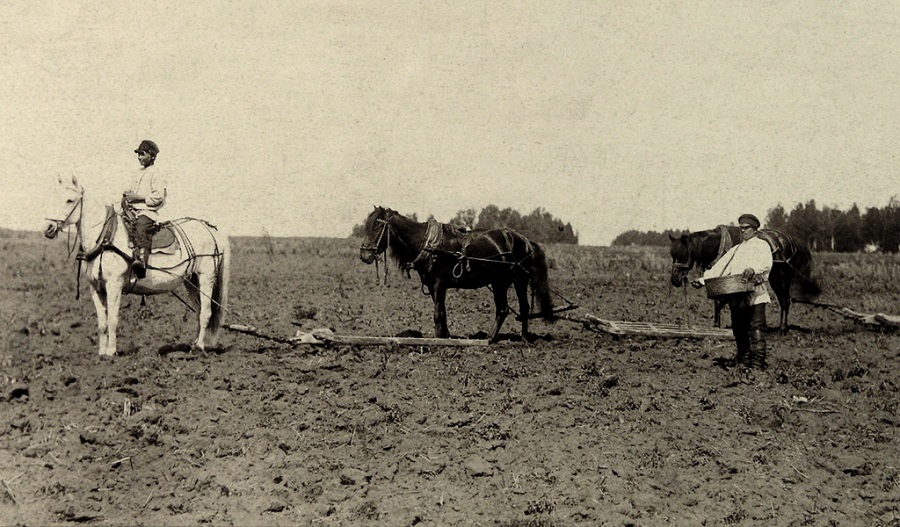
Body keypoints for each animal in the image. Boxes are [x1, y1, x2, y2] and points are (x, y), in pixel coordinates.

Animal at [44, 175, 230, 356]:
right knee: (199, 311)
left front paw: (111, 352)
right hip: (191, 281)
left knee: (206, 312)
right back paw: (194, 345)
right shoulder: (96, 288)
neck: (105, 237)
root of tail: (211, 230)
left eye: (69, 200)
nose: (48, 228)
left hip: (206, 277)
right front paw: (101, 352)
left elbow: (112, 319)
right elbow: (102, 323)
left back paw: (199, 347)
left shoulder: (114, 285)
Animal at [358, 206, 556, 342]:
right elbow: (442, 312)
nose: (364, 255)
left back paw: (518, 338)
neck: (427, 243)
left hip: (518, 280)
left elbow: (437, 313)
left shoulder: (439, 283)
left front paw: (439, 339)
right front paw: (446, 336)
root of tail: (526, 241)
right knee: (503, 309)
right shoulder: (432, 286)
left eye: (377, 227)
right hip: (499, 282)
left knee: (520, 308)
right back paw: (491, 338)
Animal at [668, 224, 824, 332]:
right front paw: (718, 325)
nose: (675, 279)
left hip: (782, 278)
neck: (720, 244)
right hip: (775, 278)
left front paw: (718, 325)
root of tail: (790, 240)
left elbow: (721, 301)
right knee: (783, 300)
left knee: (785, 300)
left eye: (683, 254)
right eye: (672, 255)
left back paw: (783, 329)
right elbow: (719, 302)